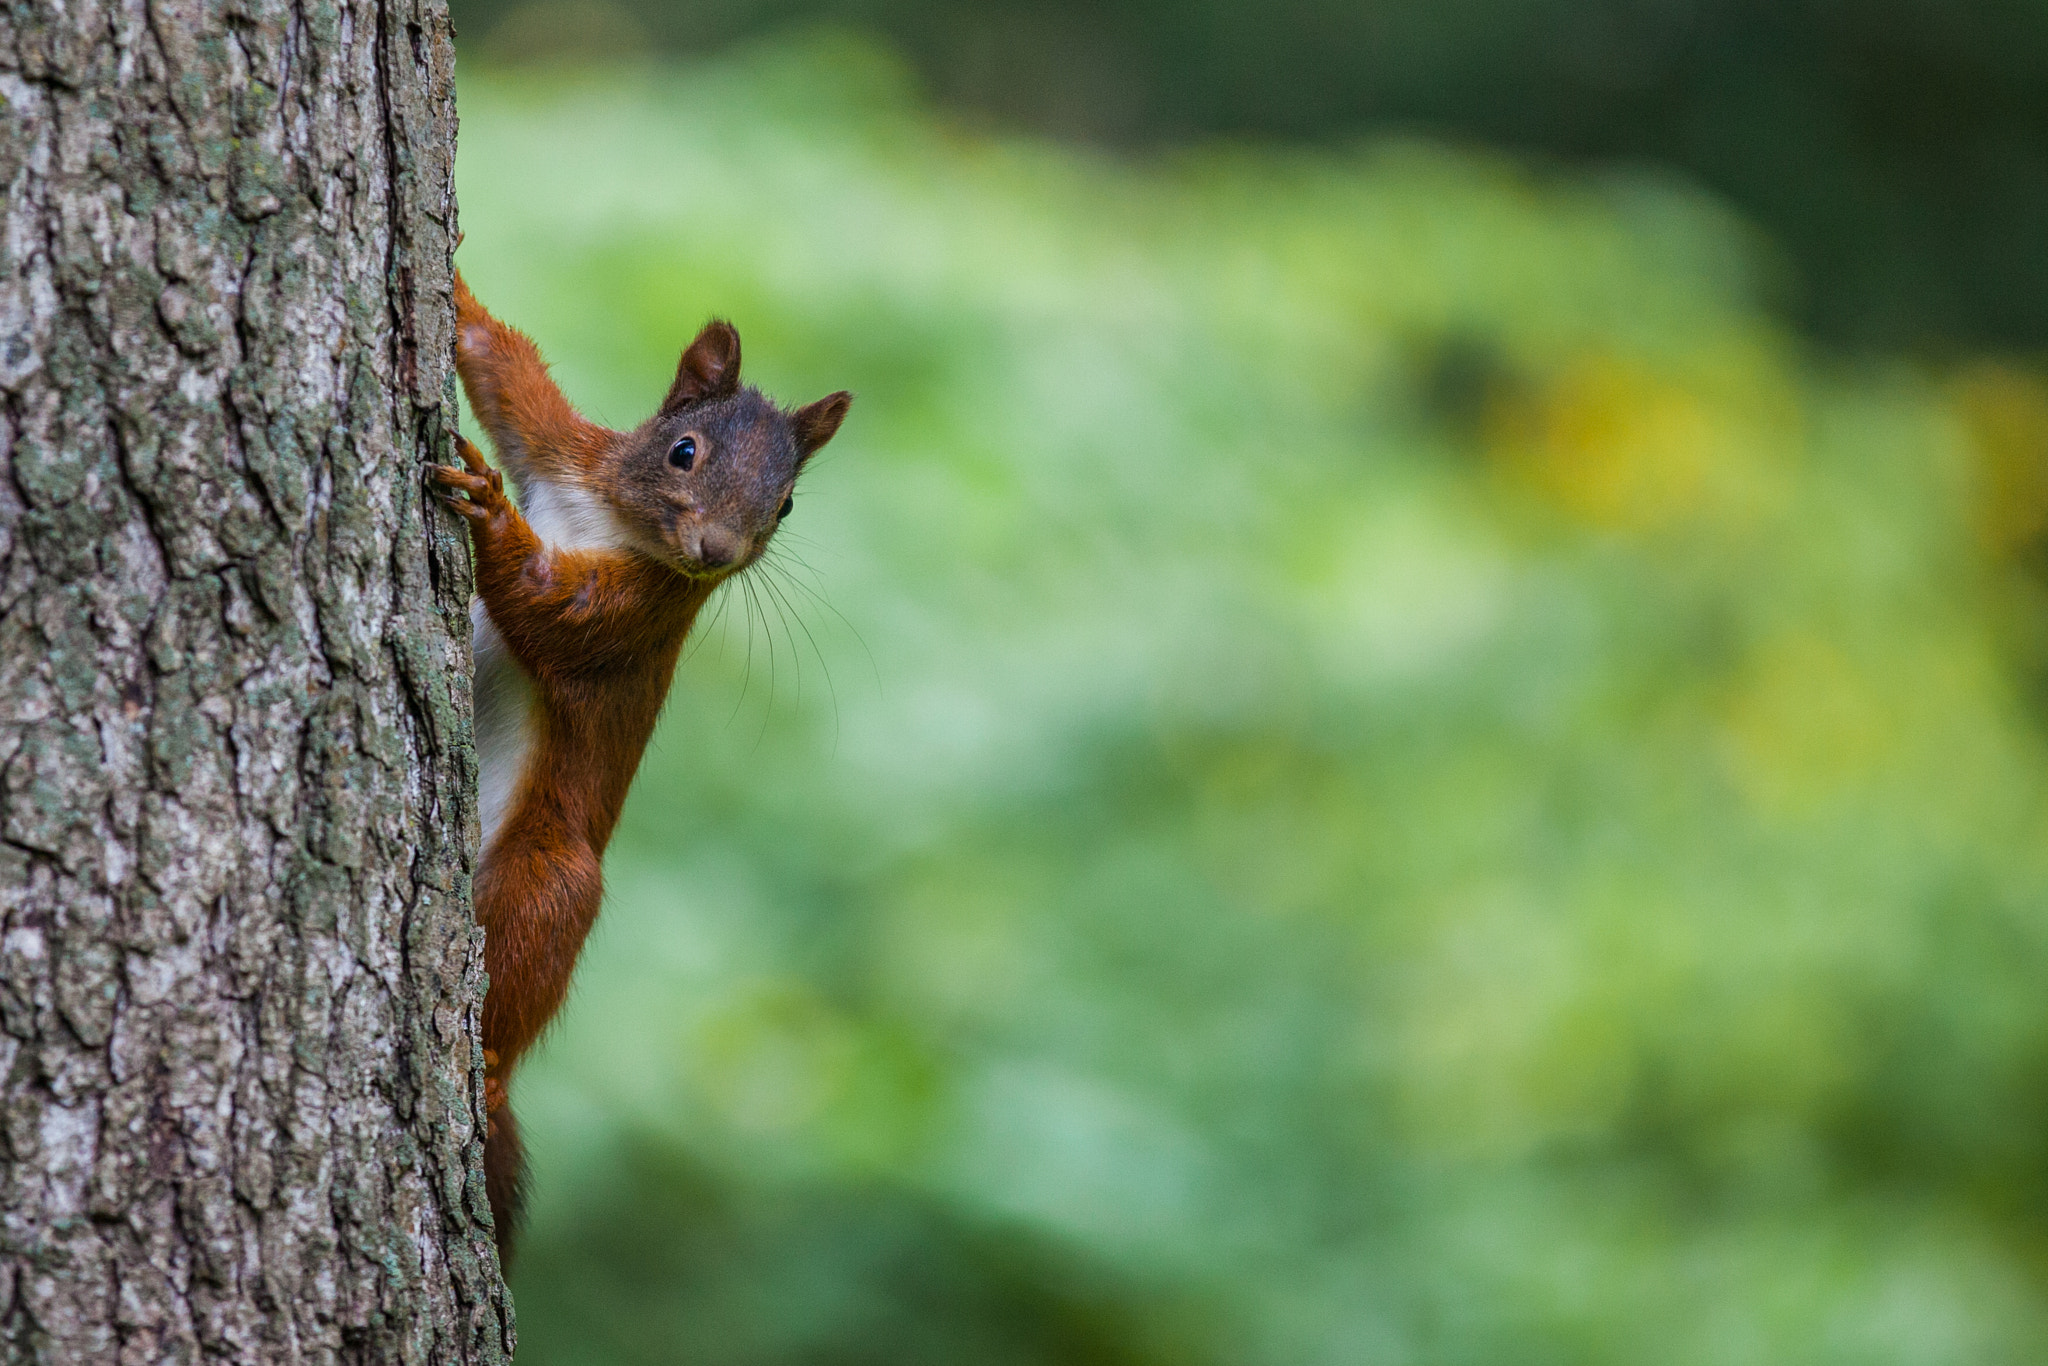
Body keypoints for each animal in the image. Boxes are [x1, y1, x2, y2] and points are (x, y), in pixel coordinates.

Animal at [432, 272, 847, 1269]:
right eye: (683, 450)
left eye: (785, 506)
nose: (716, 554)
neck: (613, 519)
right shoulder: (564, 451)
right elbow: (501, 363)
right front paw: (456, 283)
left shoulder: (640, 616)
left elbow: (554, 613)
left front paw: (490, 511)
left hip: (551, 865)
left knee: (538, 933)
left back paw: (489, 1066)